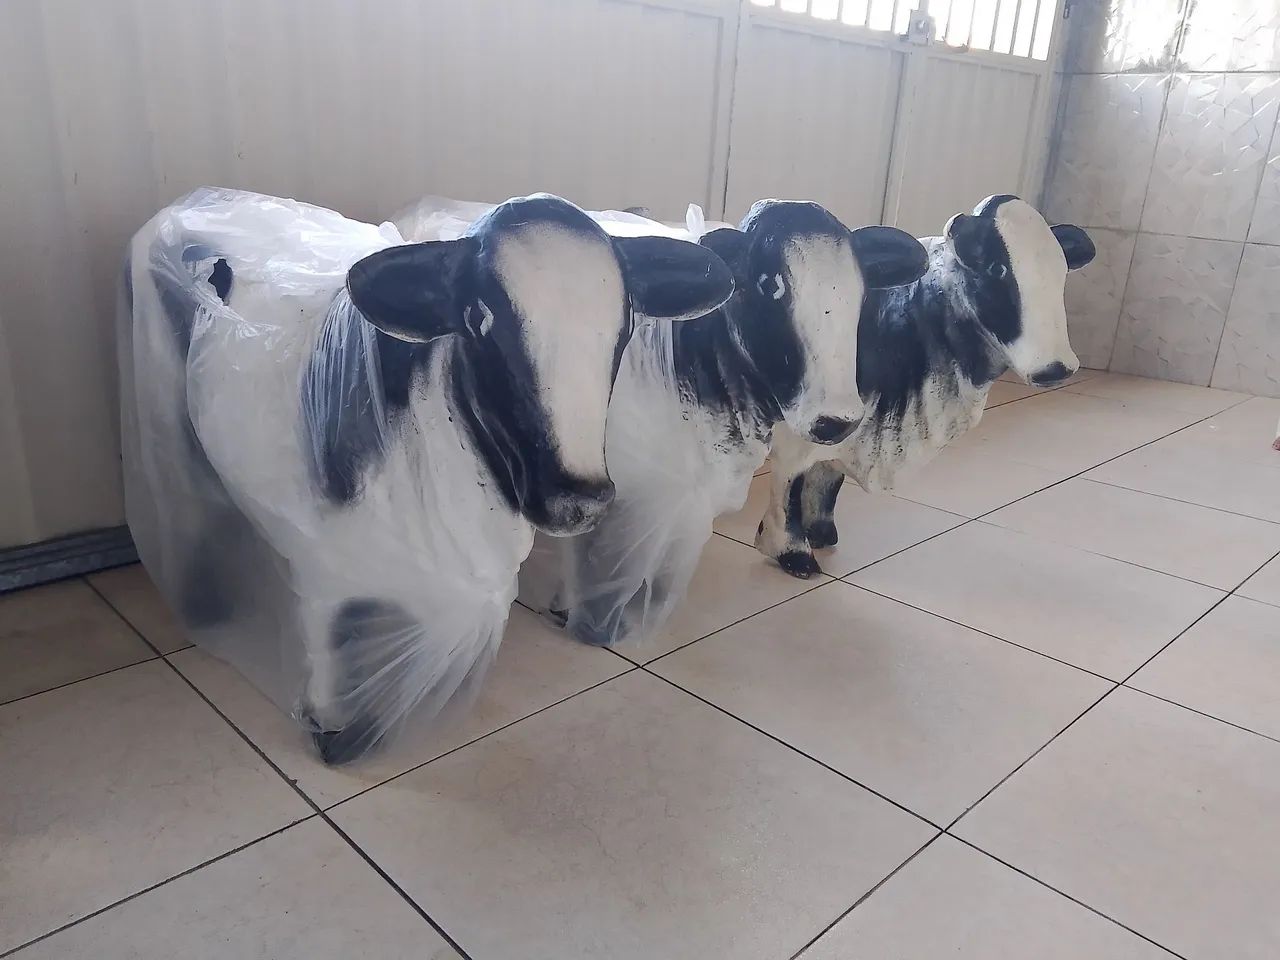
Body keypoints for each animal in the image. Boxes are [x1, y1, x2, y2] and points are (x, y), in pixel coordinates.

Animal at [120, 187, 734, 765]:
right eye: (479, 318)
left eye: (625, 322)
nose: (577, 496)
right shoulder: (321, 560)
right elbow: (324, 639)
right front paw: (335, 734)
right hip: (167, 416)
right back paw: (206, 606)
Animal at [399, 196, 929, 646]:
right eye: (770, 285)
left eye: (861, 290)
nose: (838, 419)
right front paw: (581, 608)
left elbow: (788, 472)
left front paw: (789, 550)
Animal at [755, 195, 1096, 578]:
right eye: (997, 269)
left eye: (1062, 271)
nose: (1057, 368)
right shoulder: (804, 425)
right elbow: (790, 486)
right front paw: (793, 554)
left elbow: (826, 476)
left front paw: (821, 532)